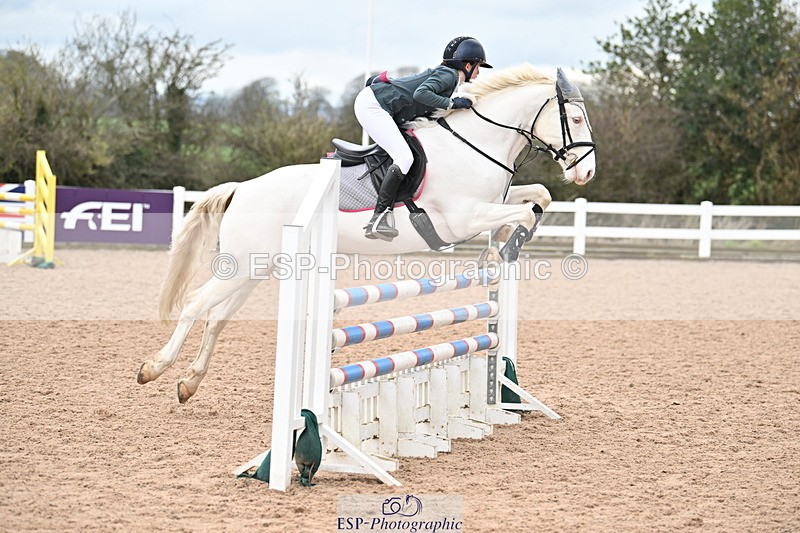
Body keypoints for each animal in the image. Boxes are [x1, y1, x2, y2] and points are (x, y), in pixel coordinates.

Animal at [137, 64, 596, 403]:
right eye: (574, 118)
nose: (586, 173)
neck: (475, 143)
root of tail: (243, 188)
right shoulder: (463, 217)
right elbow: (525, 211)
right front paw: (506, 246)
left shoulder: (493, 201)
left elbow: (537, 197)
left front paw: (500, 247)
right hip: (242, 266)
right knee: (196, 305)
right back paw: (153, 368)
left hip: (254, 268)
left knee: (216, 317)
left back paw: (189, 383)